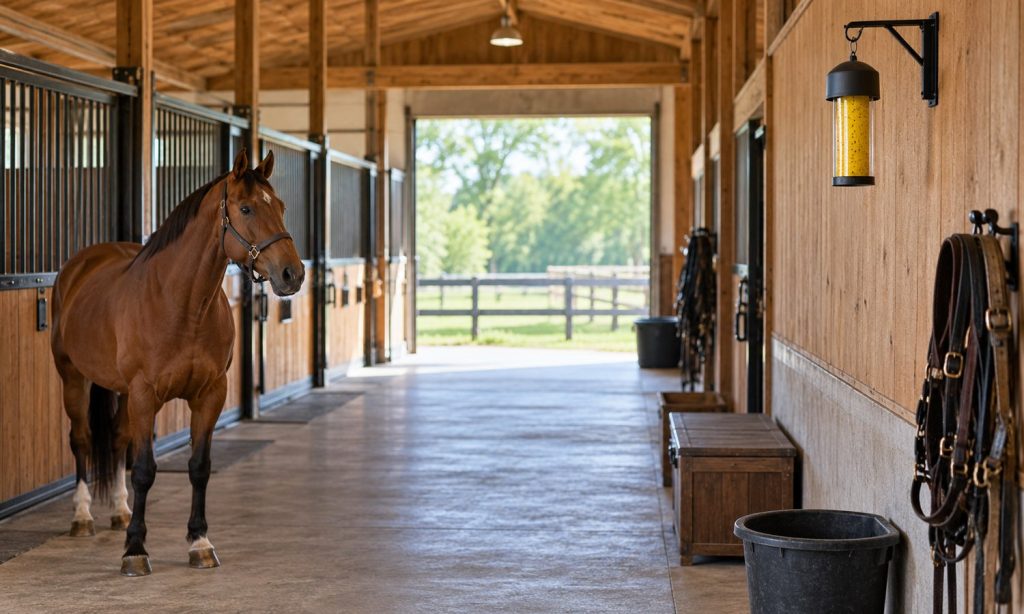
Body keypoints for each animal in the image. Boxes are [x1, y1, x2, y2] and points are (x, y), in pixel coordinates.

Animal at [49, 149, 303, 576]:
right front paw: (135, 550)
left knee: (116, 440)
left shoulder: (210, 395)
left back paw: (119, 510)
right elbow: (144, 470)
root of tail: (79, 266)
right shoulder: (144, 395)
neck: (182, 305)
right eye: (247, 208)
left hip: (120, 392)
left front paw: (200, 543)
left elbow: (199, 466)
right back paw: (82, 517)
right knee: (81, 439)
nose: (293, 274)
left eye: (282, 207)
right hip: (74, 378)